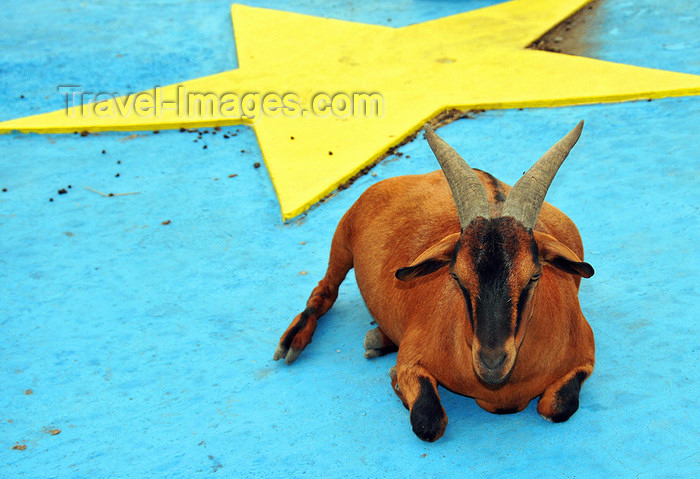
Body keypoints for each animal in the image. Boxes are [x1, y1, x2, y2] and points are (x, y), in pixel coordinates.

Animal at [274, 121, 596, 442]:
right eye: (456, 276)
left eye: (534, 275)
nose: (491, 362)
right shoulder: (411, 359)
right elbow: (428, 421)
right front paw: (395, 380)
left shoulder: (586, 357)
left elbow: (557, 407)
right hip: (342, 239)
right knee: (325, 290)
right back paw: (292, 344)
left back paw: (378, 339)